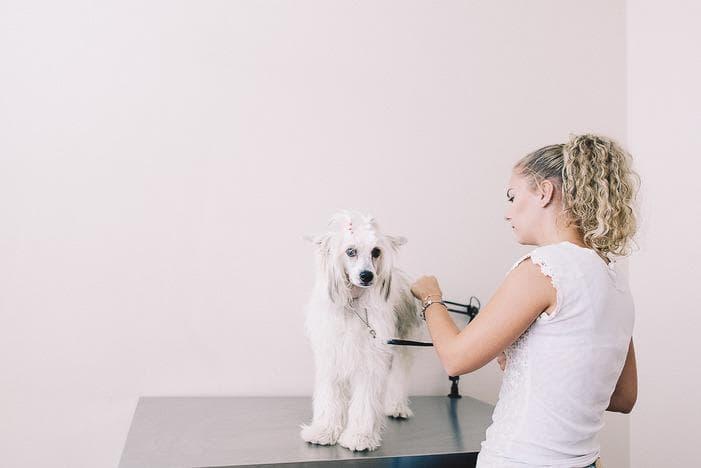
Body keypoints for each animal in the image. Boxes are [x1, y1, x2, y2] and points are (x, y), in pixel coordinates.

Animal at [299, 209, 422, 452]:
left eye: (376, 252)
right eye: (350, 251)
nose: (367, 275)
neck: (353, 305)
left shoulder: (371, 361)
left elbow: (365, 402)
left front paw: (360, 436)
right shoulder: (332, 359)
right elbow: (330, 399)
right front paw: (324, 431)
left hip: (402, 346)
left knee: (399, 378)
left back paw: (396, 407)